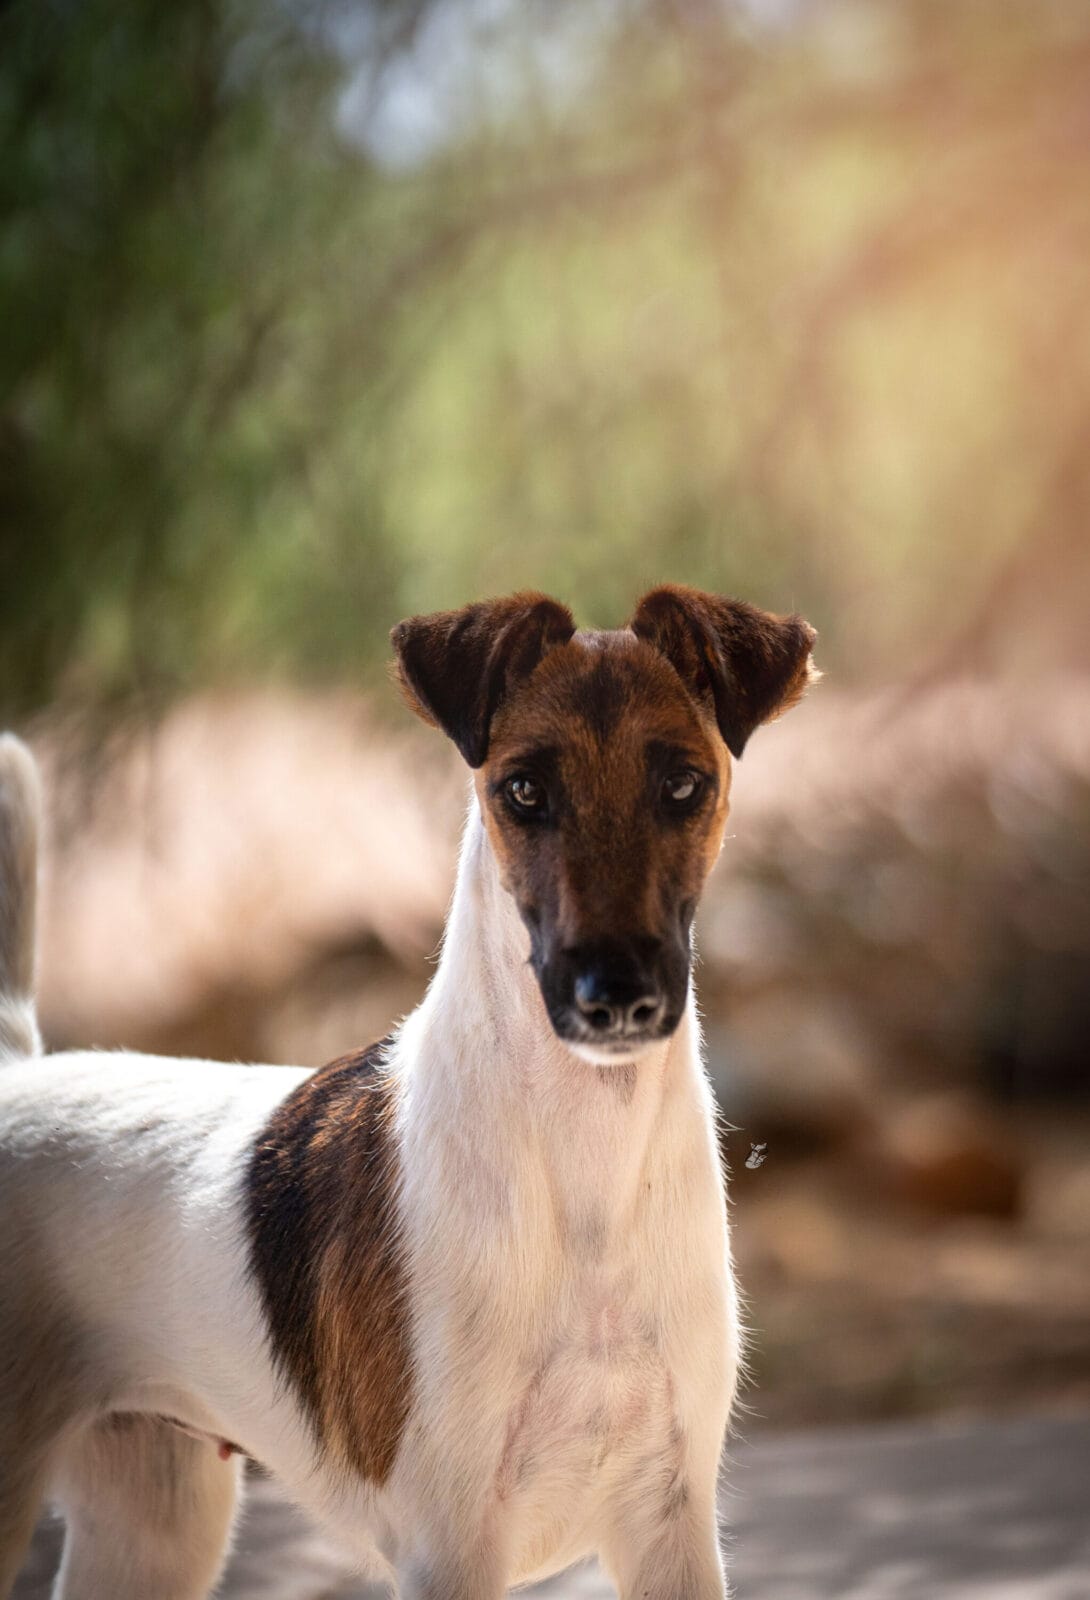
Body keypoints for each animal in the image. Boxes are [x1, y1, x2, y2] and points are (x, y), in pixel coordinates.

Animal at [2, 592, 816, 1600]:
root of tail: (15, 1069)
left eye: (683, 786)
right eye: (523, 791)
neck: (581, 1176)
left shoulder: (670, 1527)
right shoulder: (451, 1546)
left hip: (153, 1520)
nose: (616, 993)